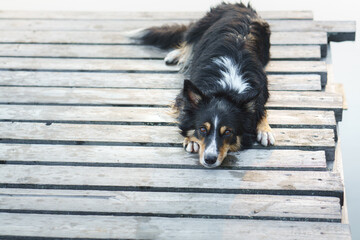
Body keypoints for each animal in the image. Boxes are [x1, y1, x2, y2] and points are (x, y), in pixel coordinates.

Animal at [134, 1, 274, 168]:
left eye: (228, 132)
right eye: (202, 129)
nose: (209, 159)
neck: (226, 88)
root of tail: (237, 5)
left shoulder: (261, 90)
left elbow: (261, 110)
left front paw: (265, 129)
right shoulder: (183, 96)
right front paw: (191, 140)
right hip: (197, 29)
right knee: (187, 44)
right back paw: (175, 55)